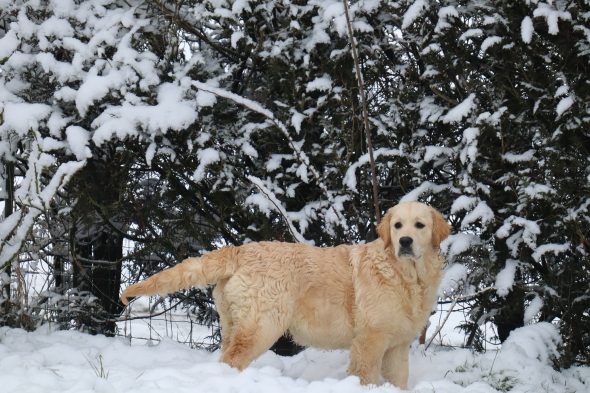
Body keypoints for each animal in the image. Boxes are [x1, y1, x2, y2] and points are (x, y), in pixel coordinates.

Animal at [122, 201, 450, 388]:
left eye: (420, 226)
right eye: (397, 226)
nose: (404, 241)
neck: (406, 274)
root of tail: (239, 250)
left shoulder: (397, 345)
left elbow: (399, 380)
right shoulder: (370, 340)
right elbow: (365, 377)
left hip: (233, 322)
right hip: (261, 326)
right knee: (232, 358)